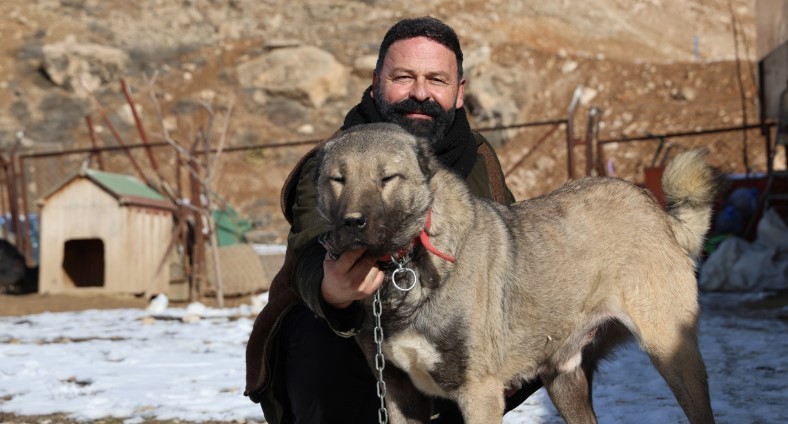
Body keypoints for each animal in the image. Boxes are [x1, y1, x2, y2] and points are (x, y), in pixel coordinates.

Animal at [315, 122, 717, 423]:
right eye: (338, 179)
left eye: (387, 178)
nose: (352, 223)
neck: (404, 264)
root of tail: (654, 209)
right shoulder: (400, 395)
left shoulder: (479, 394)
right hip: (564, 379)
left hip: (672, 353)